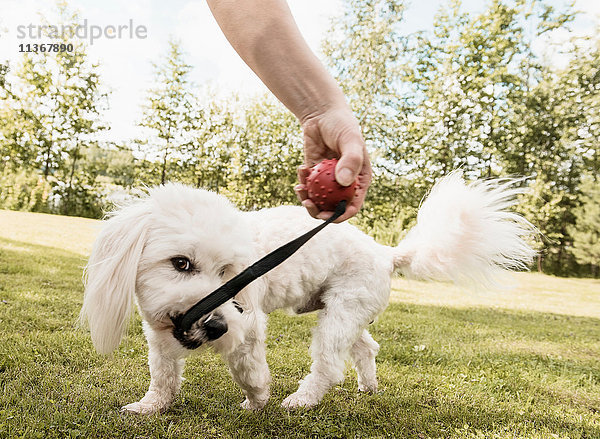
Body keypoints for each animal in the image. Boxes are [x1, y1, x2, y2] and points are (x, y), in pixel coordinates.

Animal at [79, 174, 536, 414]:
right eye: (181, 263)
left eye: (229, 272)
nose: (217, 325)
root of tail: (387, 253)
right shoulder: (158, 332)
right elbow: (163, 373)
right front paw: (151, 406)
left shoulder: (249, 325)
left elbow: (248, 369)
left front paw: (257, 399)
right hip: (352, 312)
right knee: (367, 348)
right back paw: (368, 386)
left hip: (339, 316)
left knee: (330, 367)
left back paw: (300, 400)